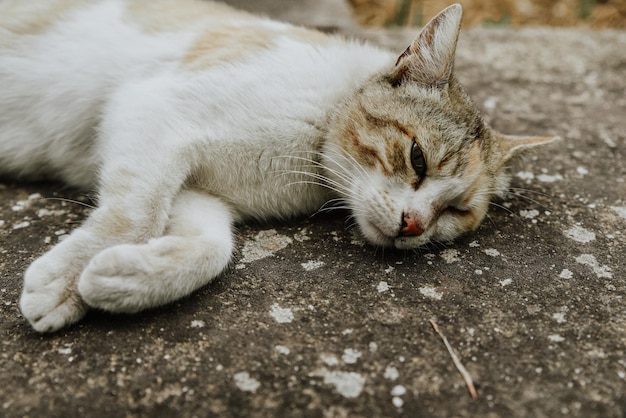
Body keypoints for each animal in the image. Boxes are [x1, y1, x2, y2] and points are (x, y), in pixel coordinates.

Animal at [1, 0, 556, 334]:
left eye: (456, 211)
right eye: (417, 158)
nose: (413, 225)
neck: (308, 146)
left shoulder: (196, 186)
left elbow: (212, 247)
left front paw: (119, 279)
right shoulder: (153, 113)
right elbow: (135, 217)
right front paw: (64, 283)